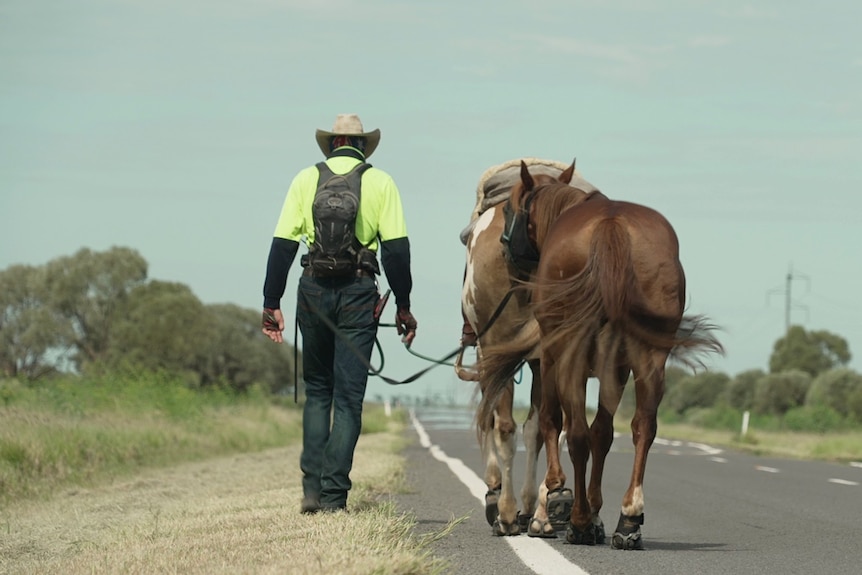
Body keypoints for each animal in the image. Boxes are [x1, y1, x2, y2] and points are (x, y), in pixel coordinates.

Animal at [480, 161, 724, 548]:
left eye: (509, 210)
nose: (506, 255)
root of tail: (612, 227)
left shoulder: (551, 357)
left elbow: (553, 421)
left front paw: (560, 501)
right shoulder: (618, 369)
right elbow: (604, 432)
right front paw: (595, 512)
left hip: (572, 354)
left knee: (576, 432)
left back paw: (579, 521)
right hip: (649, 358)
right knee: (642, 427)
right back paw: (629, 518)